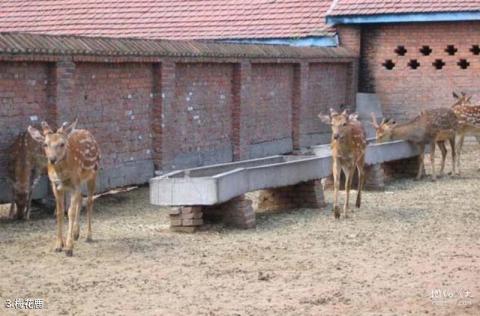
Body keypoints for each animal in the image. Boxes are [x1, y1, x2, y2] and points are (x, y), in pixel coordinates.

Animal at [27, 119, 99, 256]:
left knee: (89, 201)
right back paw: (76, 233)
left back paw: (89, 235)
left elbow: (70, 212)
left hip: (93, 174)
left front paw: (69, 248)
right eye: (45, 144)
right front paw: (58, 245)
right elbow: (59, 212)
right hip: (77, 183)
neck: (61, 173)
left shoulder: (75, 184)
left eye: (62, 144)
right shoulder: (55, 186)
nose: (52, 159)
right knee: (81, 199)